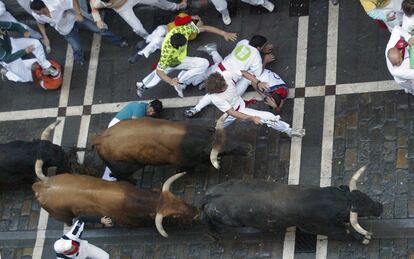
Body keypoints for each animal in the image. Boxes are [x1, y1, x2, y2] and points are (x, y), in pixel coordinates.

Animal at [32, 167, 199, 238]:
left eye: (180, 198)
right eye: (175, 215)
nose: (197, 213)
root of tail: (40, 185)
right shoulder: (127, 222)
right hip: (61, 214)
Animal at [92, 115, 251, 182]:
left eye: (231, 136)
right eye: (225, 150)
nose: (249, 148)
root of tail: (99, 140)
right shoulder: (185, 164)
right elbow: (188, 170)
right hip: (126, 168)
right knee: (118, 175)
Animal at [199, 168, 384, 245]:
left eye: (365, 196)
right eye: (360, 209)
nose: (380, 207)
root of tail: (209, 196)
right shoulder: (320, 228)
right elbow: (345, 232)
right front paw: (364, 238)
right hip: (226, 220)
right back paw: (215, 234)